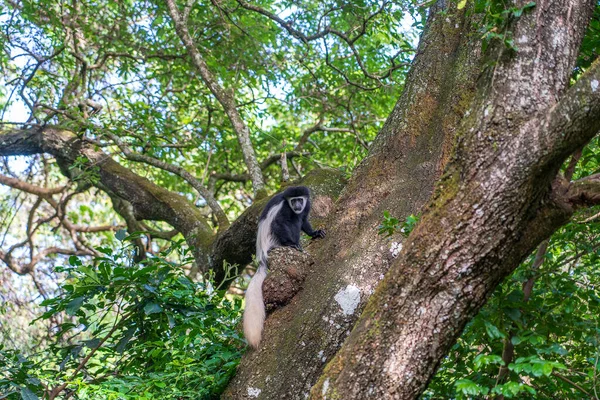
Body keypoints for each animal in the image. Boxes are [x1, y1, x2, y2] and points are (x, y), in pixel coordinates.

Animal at [243, 186, 324, 348]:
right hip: (274, 240)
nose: (297, 206)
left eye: (300, 200)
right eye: (293, 201)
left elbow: (304, 220)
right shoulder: (285, 208)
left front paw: (314, 233)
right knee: (290, 221)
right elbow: (279, 222)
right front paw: (291, 244)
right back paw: (292, 244)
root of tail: (263, 255)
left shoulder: (307, 205)